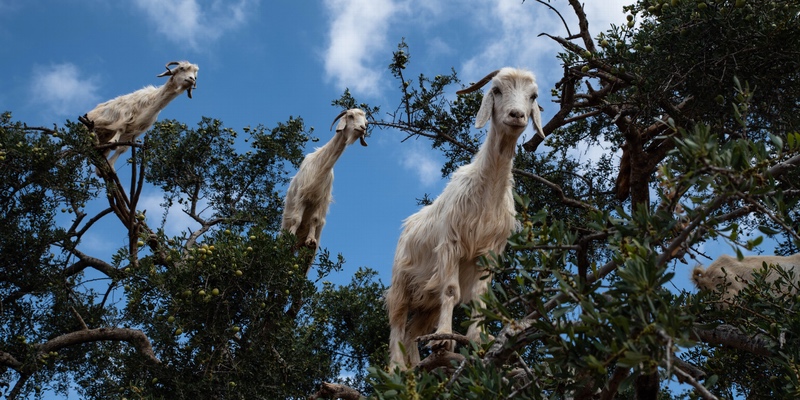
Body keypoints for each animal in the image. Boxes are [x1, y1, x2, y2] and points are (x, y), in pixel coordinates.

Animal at [282, 108, 368, 270]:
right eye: (350, 116)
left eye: (366, 122)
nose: (362, 128)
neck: (321, 165)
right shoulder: (302, 195)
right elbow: (297, 219)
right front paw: (291, 233)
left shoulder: (319, 200)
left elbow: (314, 220)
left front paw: (311, 240)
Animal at [384, 66, 548, 368]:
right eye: (496, 90)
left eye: (533, 96)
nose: (517, 115)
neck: (486, 194)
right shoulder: (451, 244)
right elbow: (452, 291)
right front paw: (444, 338)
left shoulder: (490, 252)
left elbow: (480, 297)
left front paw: (476, 340)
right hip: (401, 283)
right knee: (398, 325)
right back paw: (397, 368)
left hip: (428, 300)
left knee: (413, 332)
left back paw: (418, 367)